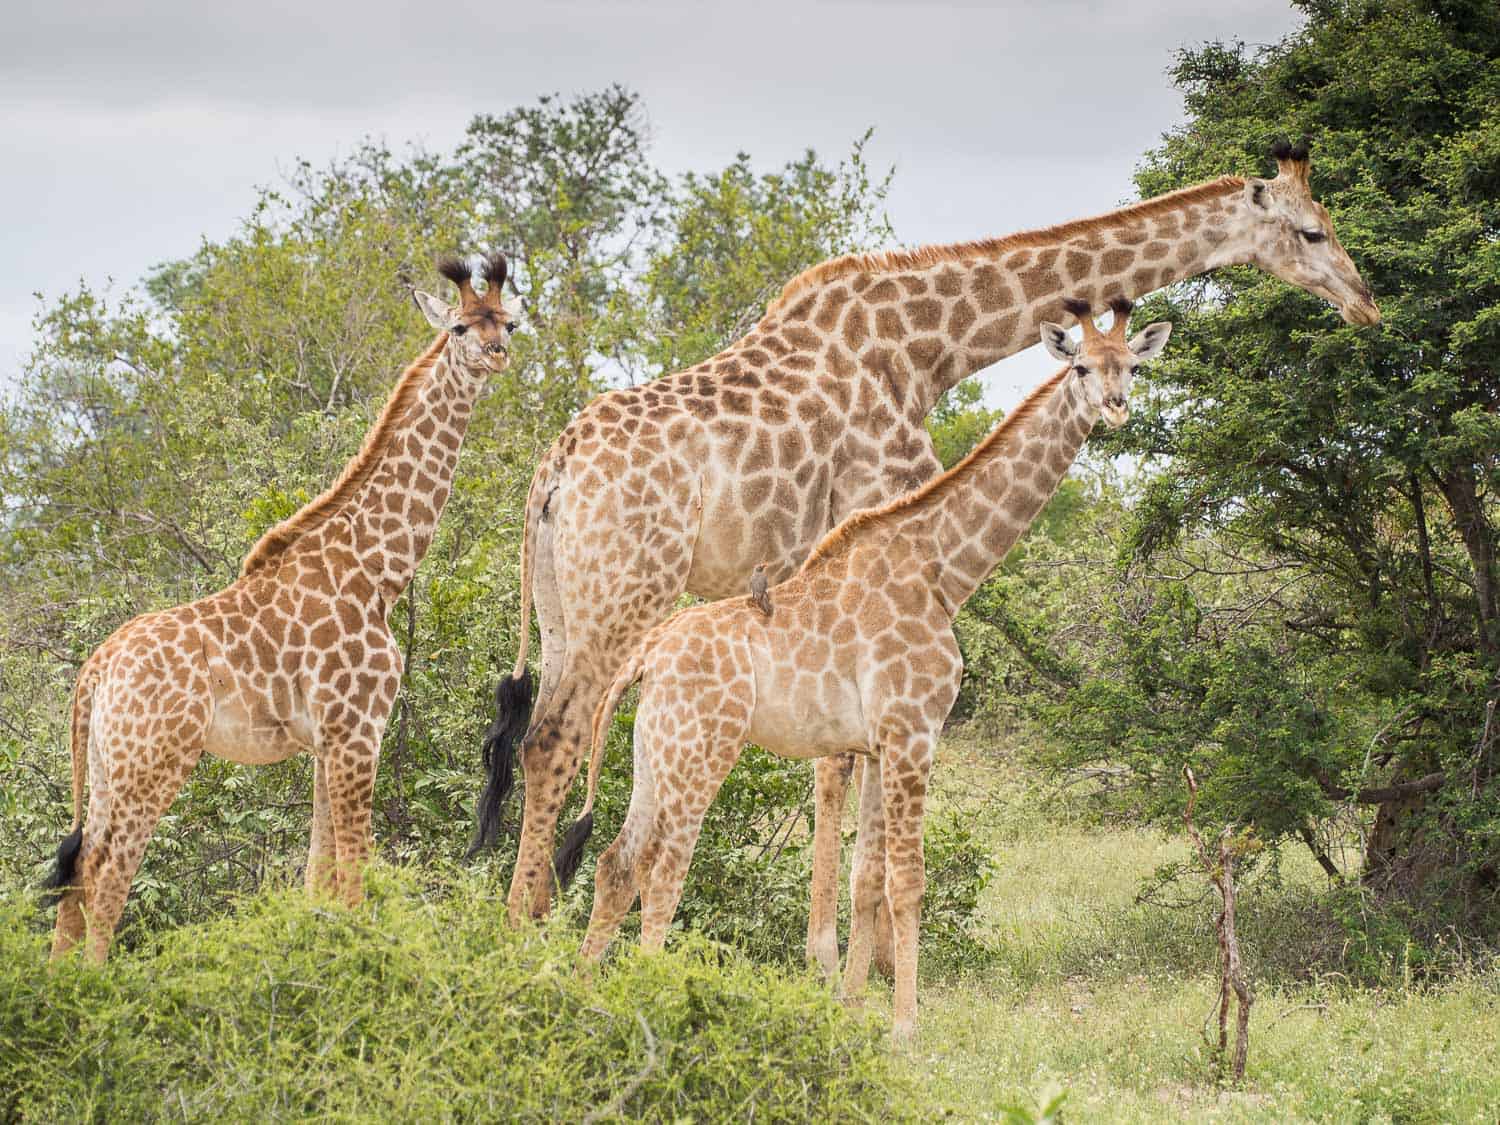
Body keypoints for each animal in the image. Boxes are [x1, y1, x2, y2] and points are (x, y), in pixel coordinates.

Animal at [42, 252, 520, 963]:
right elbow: (355, 870)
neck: (378, 568)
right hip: (152, 762)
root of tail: (94, 672)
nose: (497, 353)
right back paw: (94, 983)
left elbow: (319, 876)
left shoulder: (326, 740)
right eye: (460, 327)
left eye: (509, 321)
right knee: (106, 872)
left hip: (105, 766)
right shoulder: (357, 728)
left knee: (77, 874)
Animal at [477, 142, 1379, 947]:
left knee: (538, 737)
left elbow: (835, 761)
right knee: (556, 738)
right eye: (1312, 233)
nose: (1366, 305)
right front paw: (842, 961)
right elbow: (843, 766)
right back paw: (523, 931)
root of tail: (551, 472)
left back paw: (525, 916)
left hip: (562, 602)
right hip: (630, 587)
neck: (929, 343)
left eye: (1333, 222)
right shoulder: (875, 516)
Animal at [568, 299, 1171, 1038]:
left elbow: (867, 877)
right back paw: (650, 997)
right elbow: (907, 880)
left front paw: (853, 1007)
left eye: (1134, 365)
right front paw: (906, 1025)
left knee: (616, 863)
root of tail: (646, 656)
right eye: (1081, 365)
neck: (945, 570)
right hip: (703, 748)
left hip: (654, 749)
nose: (1115, 406)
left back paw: (581, 991)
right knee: (665, 872)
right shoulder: (915, 729)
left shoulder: (879, 742)